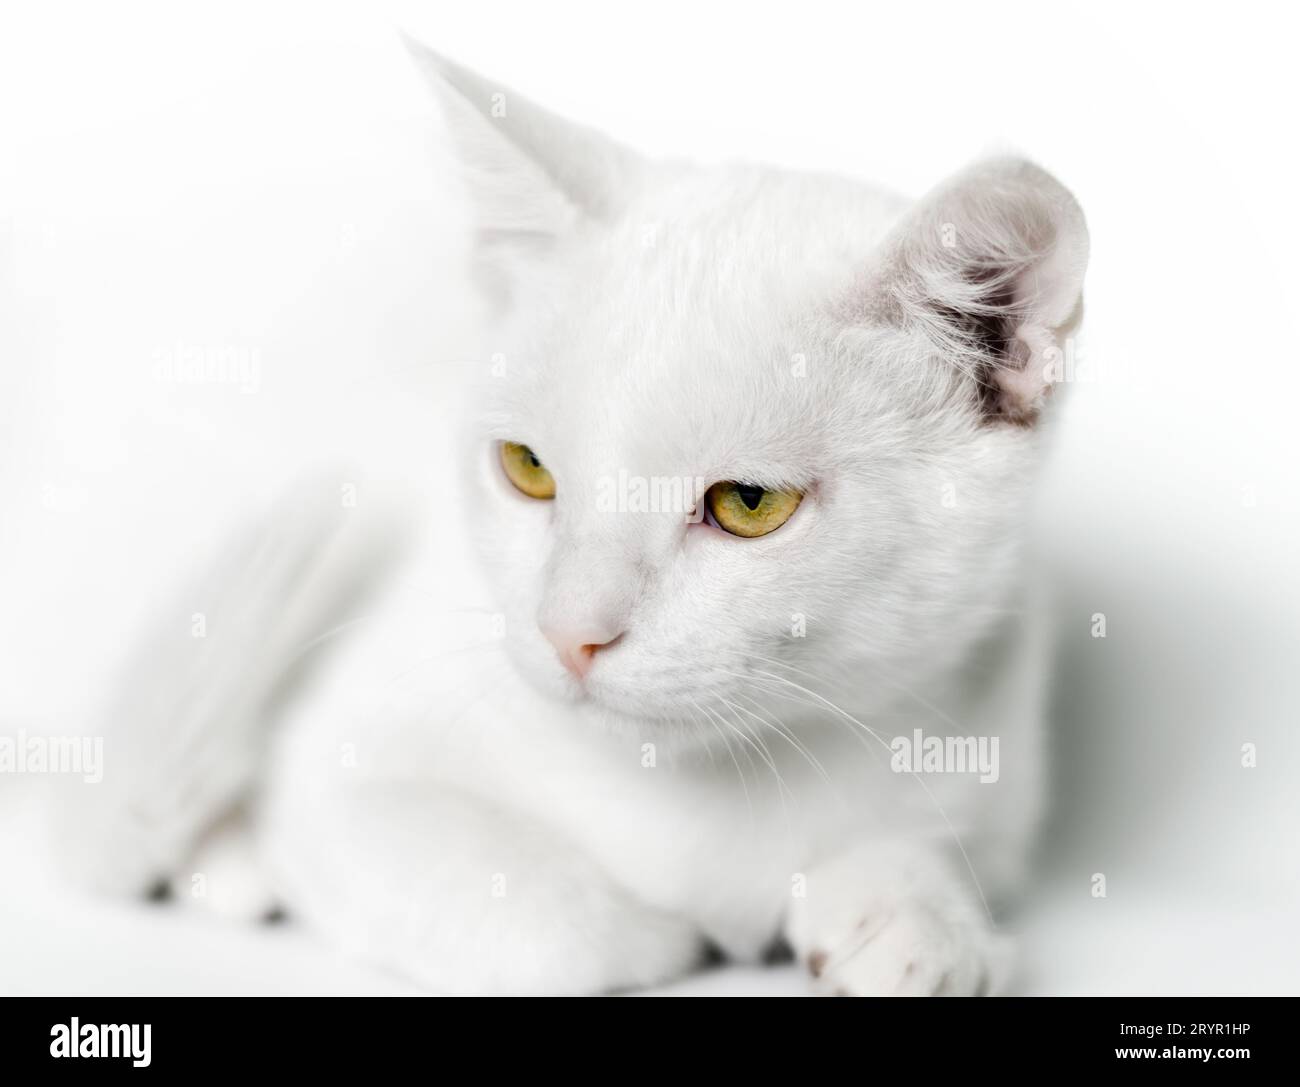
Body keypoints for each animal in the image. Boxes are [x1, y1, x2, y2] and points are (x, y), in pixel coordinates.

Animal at [50, 40, 1086, 993]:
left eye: (750, 504)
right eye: (529, 470)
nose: (567, 632)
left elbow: (934, 844)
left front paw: (914, 917)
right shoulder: (344, 766)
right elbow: (555, 929)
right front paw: (666, 932)